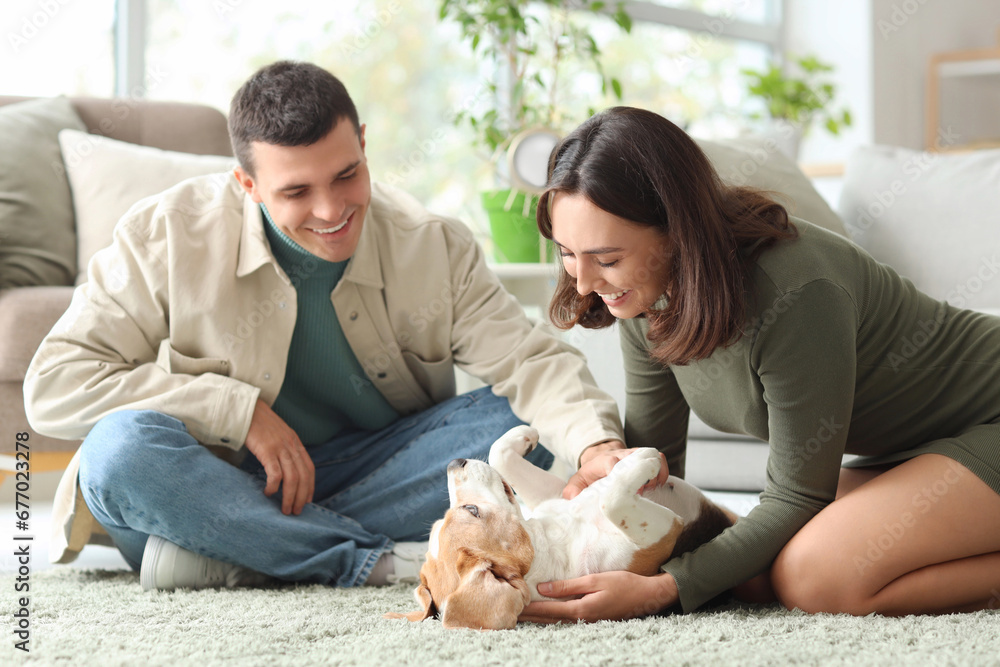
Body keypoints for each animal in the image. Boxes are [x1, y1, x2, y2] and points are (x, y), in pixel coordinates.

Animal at [386, 428, 740, 632]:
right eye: (472, 510)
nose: (453, 463)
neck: (554, 540)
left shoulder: (558, 492)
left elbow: (501, 452)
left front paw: (524, 434)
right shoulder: (664, 534)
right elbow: (612, 499)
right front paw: (641, 460)